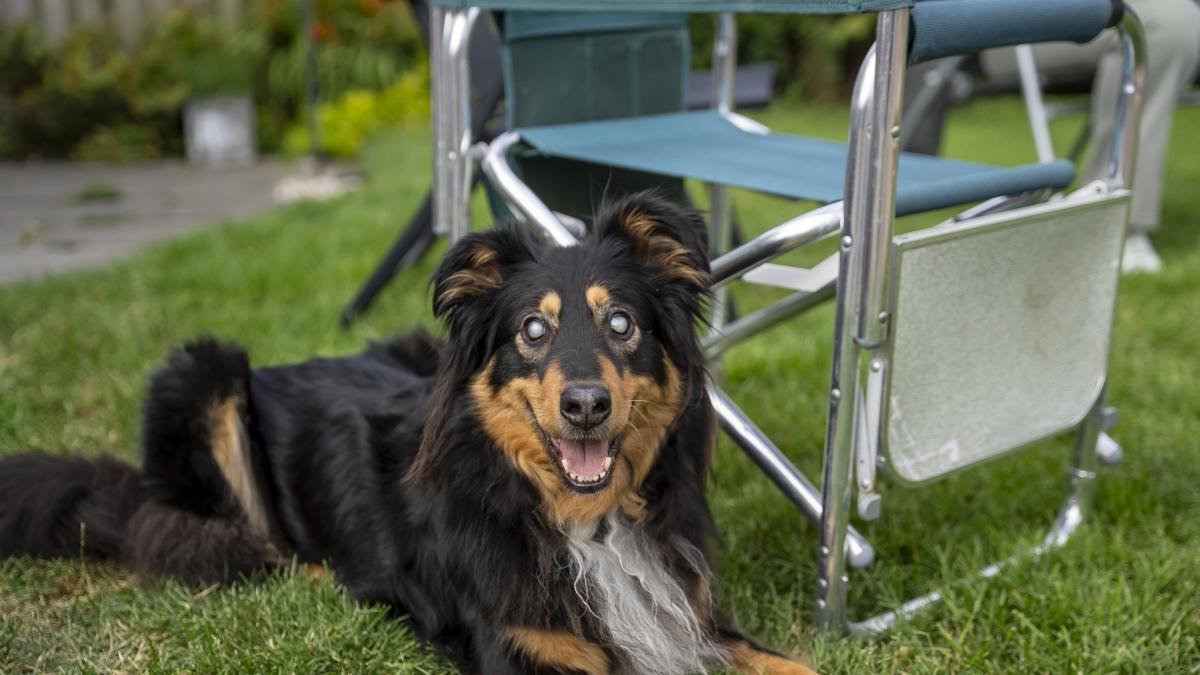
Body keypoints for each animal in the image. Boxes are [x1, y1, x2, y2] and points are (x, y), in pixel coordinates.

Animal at [0, 192, 816, 667]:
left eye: (621, 324)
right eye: (533, 330)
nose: (586, 405)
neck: (583, 522)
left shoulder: (688, 615)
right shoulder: (525, 648)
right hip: (203, 376)